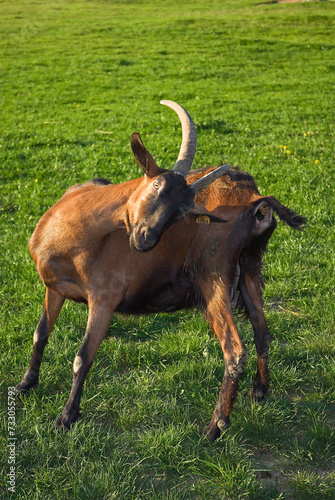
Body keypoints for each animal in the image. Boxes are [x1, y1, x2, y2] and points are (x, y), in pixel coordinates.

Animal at [15, 101, 308, 442]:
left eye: (183, 213)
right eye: (156, 185)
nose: (145, 239)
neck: (69, 237)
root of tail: (257, 202)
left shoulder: (104, 298)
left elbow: (82, 357)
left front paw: (66, 418)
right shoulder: (54, 287)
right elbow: (40, 335)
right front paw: (25, 385)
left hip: (214, 275)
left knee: (235, 351)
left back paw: (215, 426)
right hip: (249, 267)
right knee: (262, 329)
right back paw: (260, 390)